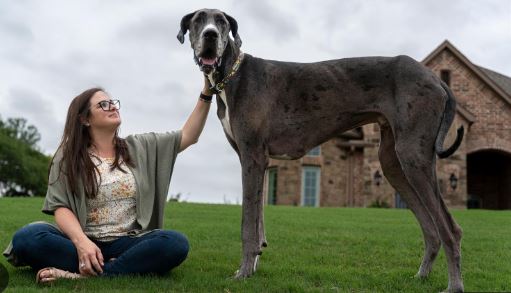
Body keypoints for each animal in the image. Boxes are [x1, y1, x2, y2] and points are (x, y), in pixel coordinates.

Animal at [178, 8, 466, 290]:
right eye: (199, 19)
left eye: (222, 22)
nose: (211, 35)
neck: (233, 74)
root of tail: (436, 79)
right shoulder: (257, 162)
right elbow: (258, 219)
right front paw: (253, 265)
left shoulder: (252, 157)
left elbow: (248, 224)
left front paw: (244, 273)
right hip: (393, 163)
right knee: (431, 229)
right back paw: (421, 276)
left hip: (413, 157)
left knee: (450, 229)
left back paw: (454, 286)